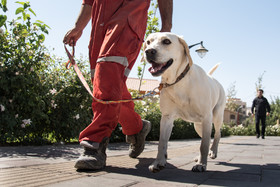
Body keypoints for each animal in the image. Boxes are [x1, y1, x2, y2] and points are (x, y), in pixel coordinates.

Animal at [144, 32, 225, 172]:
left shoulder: (206, 117)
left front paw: (201, 164)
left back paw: (213, 152)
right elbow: (162, 143)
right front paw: (158, 162)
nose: (148, 51)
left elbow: (203, 145)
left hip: (215, 117)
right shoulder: (166, 118)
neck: (178, 81)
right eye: (148, 42)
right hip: (198, 125)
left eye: (166, 41)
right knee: (207, 138)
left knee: (217, 134)